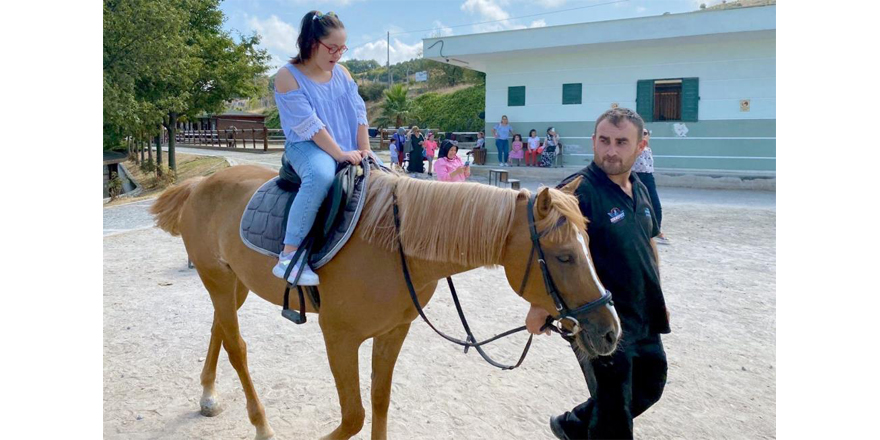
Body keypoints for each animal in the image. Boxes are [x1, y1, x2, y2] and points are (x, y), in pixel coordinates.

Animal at [150, 166, 620, 440]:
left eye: (589, 245)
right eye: (564, 256)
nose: (611, 331)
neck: (395, 245)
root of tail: (200, 183)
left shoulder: (393, 332)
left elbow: (378, 403)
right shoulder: (339, 338)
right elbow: (353, 417)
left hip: (234, 283)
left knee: (220, 328)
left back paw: (208, 395)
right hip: (217, 278)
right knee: (237, 346)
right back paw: (261, 425)